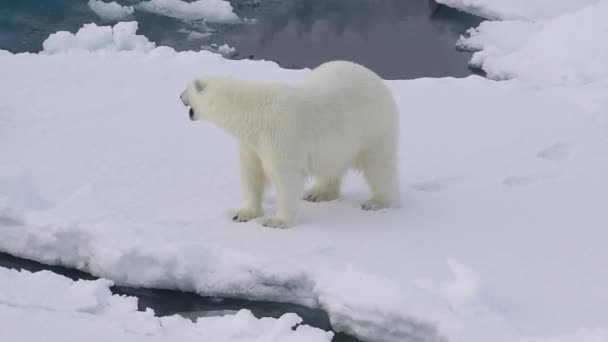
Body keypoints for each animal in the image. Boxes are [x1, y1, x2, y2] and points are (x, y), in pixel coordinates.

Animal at [179, 60, 400, 228]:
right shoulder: (252, 143)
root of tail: (375, 78)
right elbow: (252, 174)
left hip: (373, 127)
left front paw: (276, 221)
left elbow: (285, 178)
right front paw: (242, 214)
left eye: (187, 88)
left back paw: (377, 201)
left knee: (379, 165)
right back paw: (317, 193)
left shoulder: (280, 136)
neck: (254, 114)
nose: (179, 96)